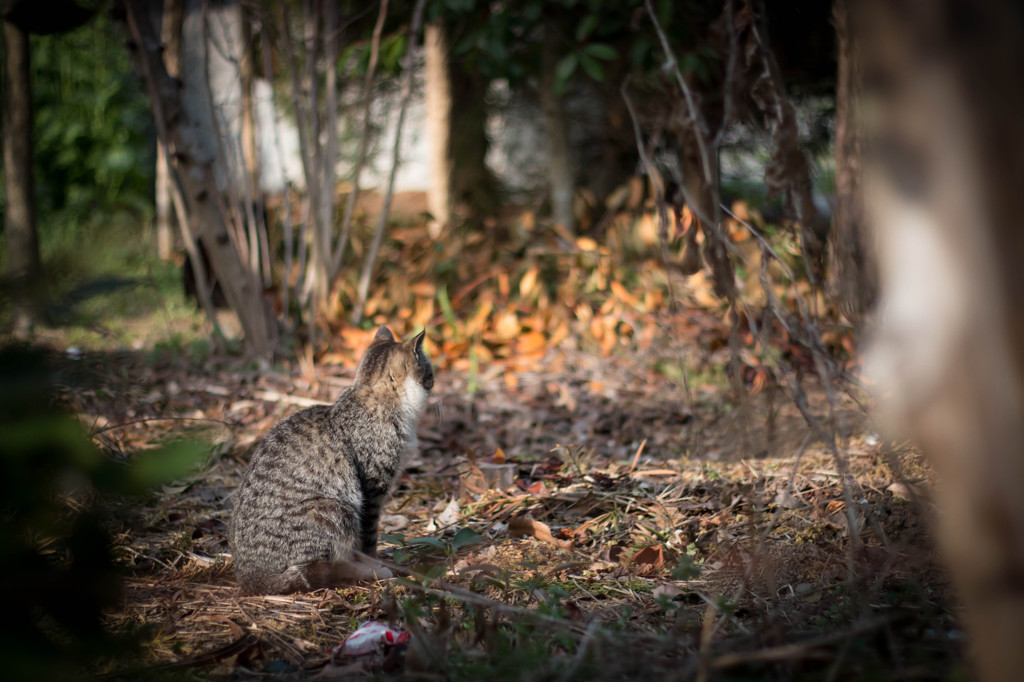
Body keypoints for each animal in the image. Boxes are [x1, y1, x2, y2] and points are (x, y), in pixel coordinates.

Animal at [230, 327, 434, 593]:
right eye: (430, 372)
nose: (433, 382)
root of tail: (249, 577)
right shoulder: (372, 490)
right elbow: (368, 538)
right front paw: (374, 563)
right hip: (335, 509)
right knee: (323, 569)